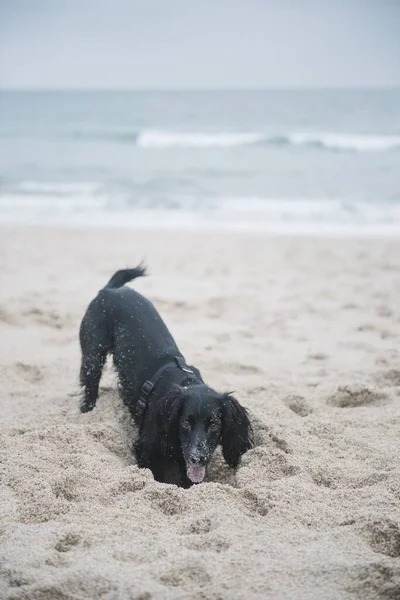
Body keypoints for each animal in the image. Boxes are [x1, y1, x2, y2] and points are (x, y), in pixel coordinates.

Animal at [79, 268, 253, 488]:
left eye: (214, 424)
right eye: (186, 422)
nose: (198, 457)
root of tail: (111, 289)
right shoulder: (146, 448)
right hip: (93, 355)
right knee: (90, 388)